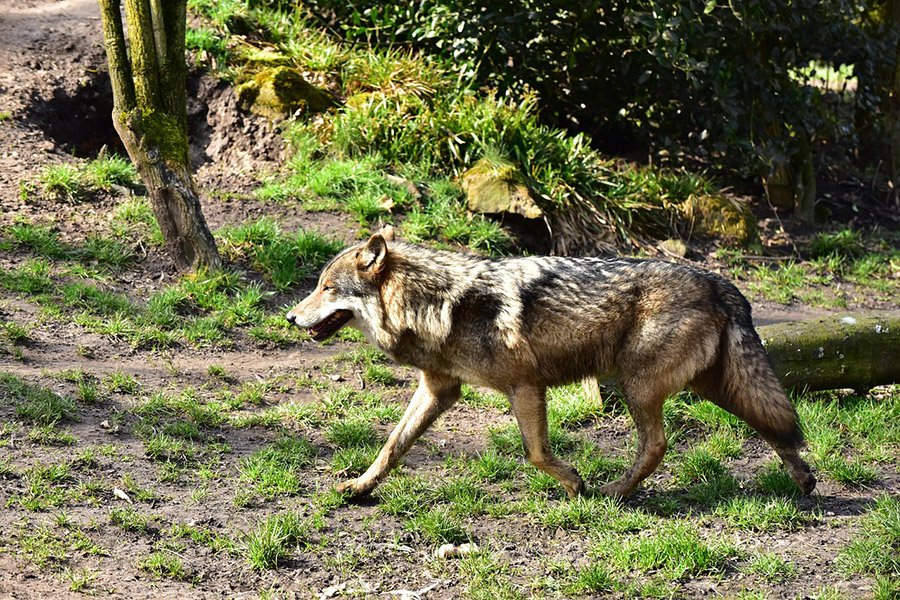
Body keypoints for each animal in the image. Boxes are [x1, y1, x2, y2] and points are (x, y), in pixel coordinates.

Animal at [286, 227, 816, 499]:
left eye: (327, 288)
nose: (290, 316)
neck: (434, 302)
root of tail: (721, 284)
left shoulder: (525, 386)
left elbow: (536, 453)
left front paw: (576, 483)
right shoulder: (439, 389)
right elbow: (392, 446)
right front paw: (359, 486)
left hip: (637, 385)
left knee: (658, 445)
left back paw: (613, 491)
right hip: (714, 386)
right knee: (775, 425)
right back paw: (804, 479)